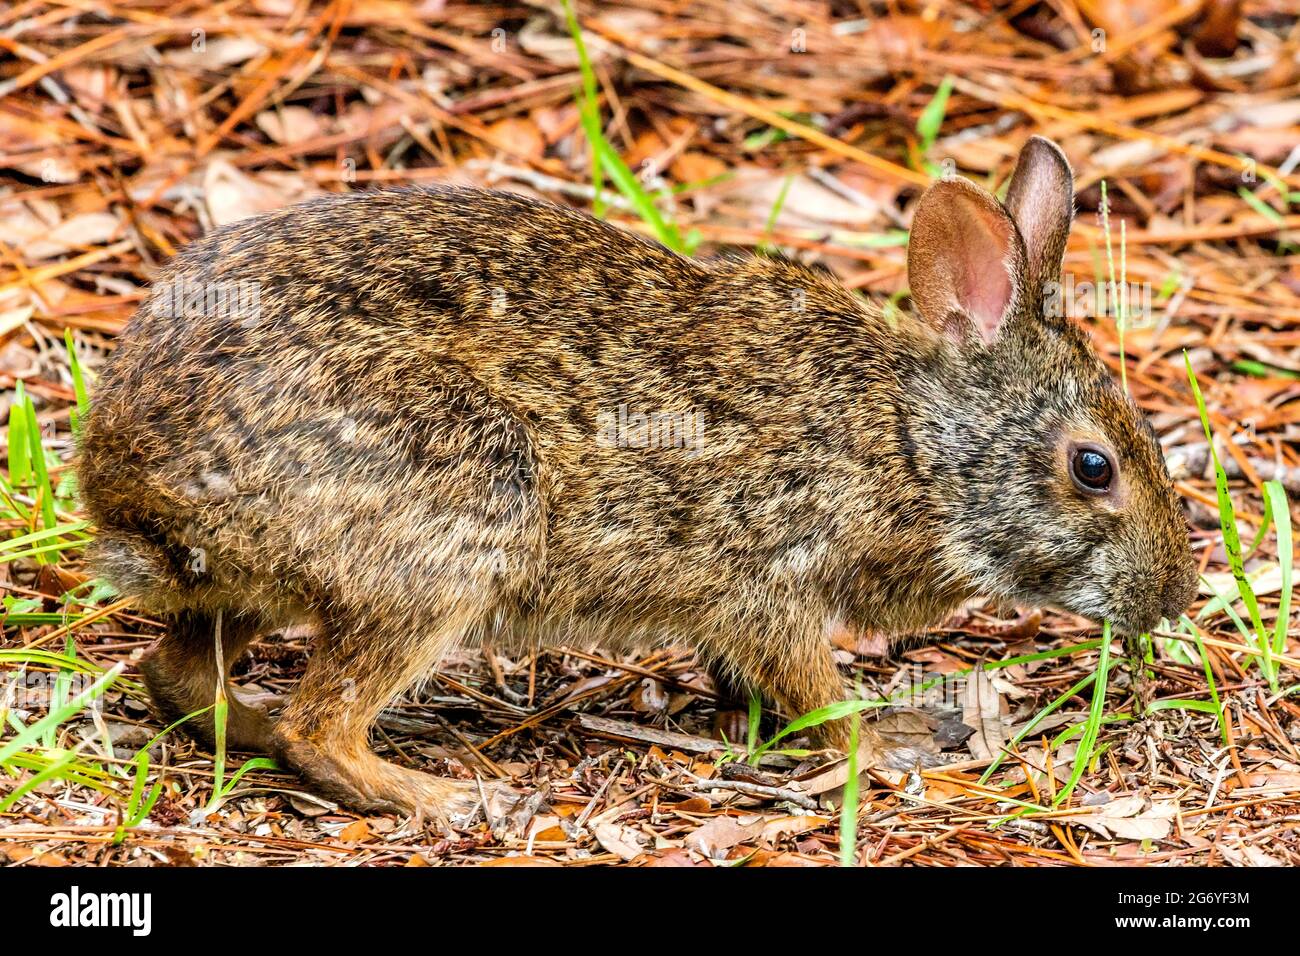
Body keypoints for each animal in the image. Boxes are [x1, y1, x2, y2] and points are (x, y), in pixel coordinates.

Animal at [76, 136, 1198, 823]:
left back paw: (264, 735)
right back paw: (440, 796)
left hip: (261, 582)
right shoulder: (768, 580)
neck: (911, 440)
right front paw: (879, 742)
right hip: (453, 518)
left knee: (180, 676)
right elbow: (810, 684)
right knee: (324, 723)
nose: (1176, 595)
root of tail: (128, 490)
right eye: (1091, 467)